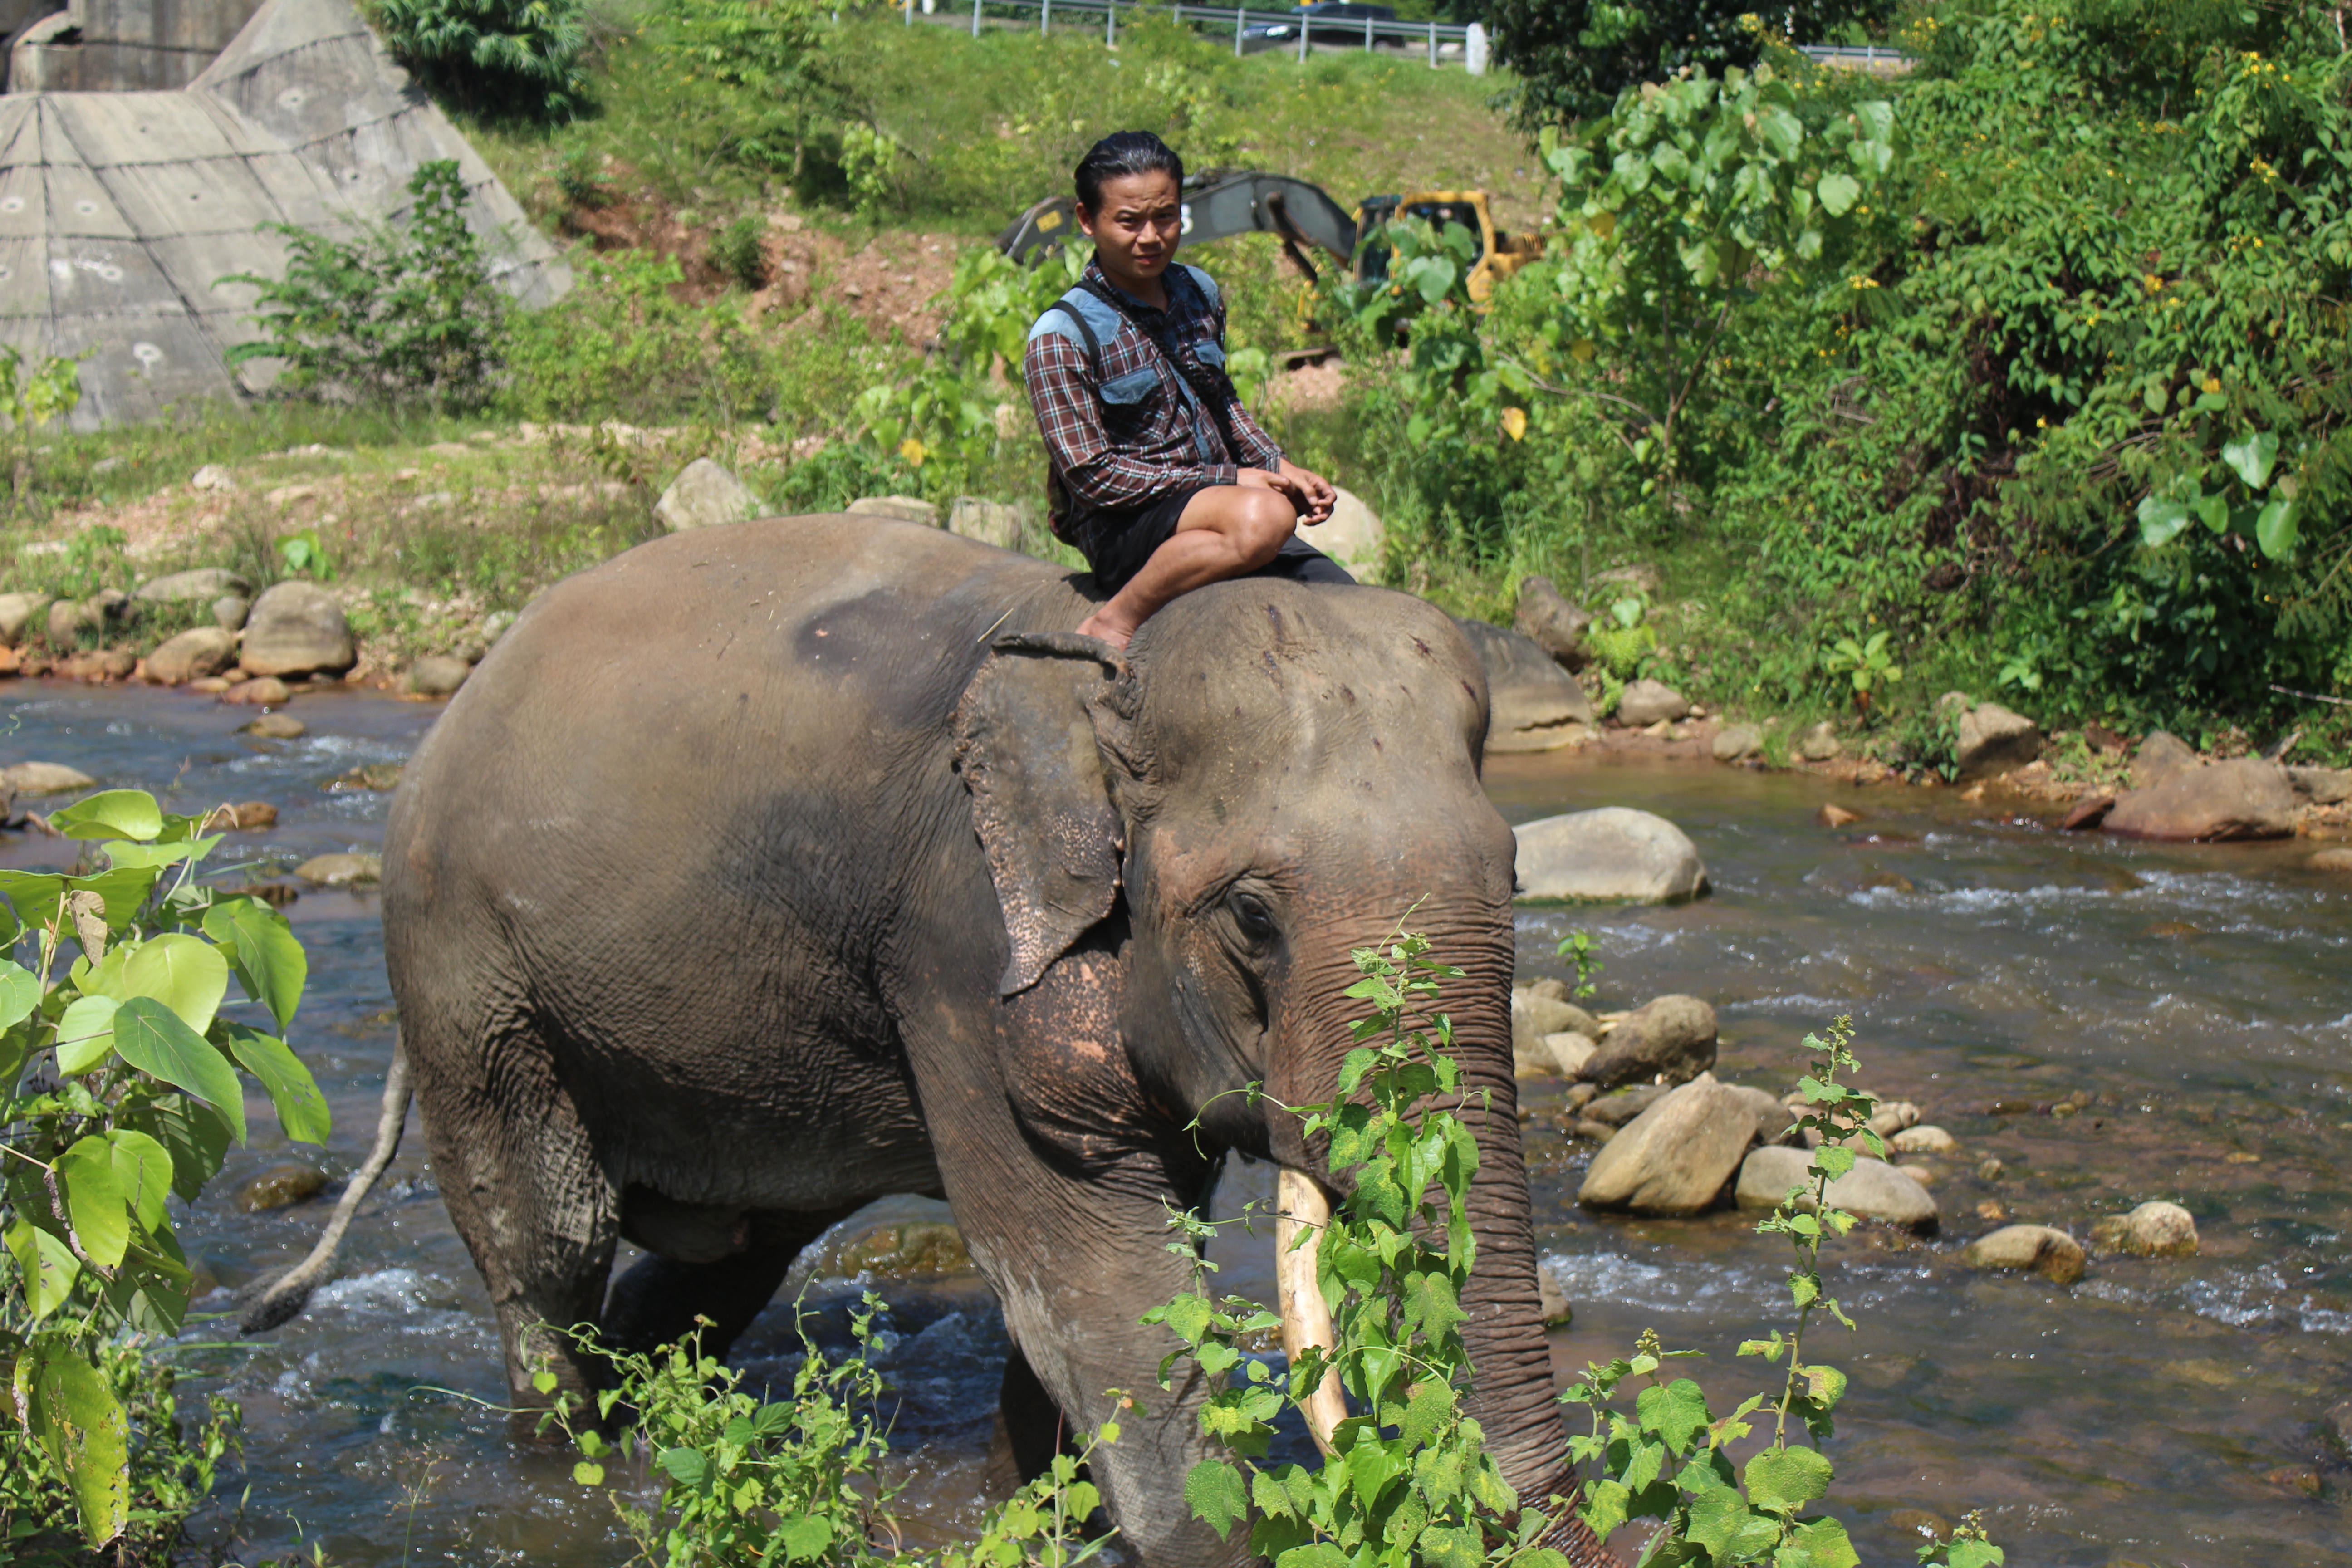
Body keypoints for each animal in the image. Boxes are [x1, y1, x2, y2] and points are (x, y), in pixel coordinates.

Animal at [358, 514, 1604, 1565]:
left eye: (1512, 877)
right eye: (1254, 917)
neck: (1096, 682)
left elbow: (1109, 1273)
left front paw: (1028, 1509)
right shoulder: (959, 935)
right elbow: (1088, 1271)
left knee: (723, 1262)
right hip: (467, 971)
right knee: (549, 1241)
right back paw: (566, 1461)